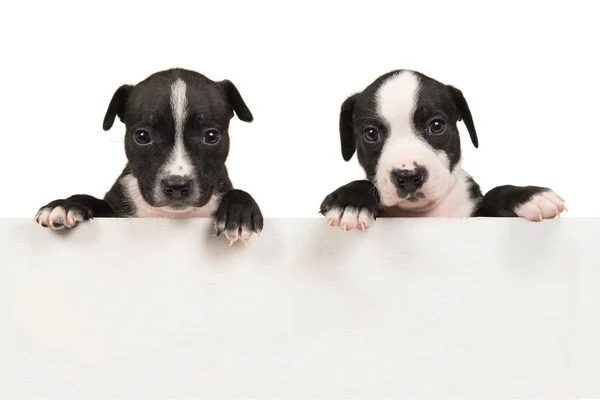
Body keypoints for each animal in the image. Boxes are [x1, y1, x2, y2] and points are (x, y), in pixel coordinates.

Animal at [34, 68, 262, 244]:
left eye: (211, 136)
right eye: (142, 136)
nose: (177, 185)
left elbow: (237, 192)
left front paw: (239, 212)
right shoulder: (115, 213)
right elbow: (94, 201)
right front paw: (66, 204)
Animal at [322, 70, 564, 230]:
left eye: (436, 125)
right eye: (371, 134)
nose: (408, 176)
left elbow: (495, 193)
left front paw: (528, 196)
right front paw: (350, 201)